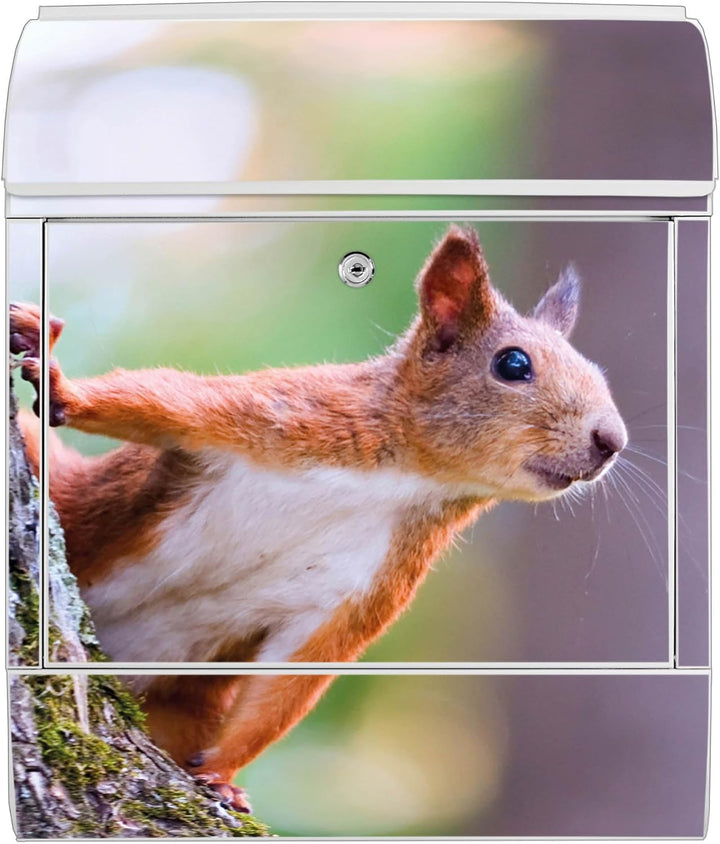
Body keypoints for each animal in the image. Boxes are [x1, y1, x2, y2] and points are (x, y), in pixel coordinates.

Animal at [10, 225, 627, 811]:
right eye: (513, 364)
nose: (611, 441)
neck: (407, 478)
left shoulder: (369, 582)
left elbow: (295, 675)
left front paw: (222, 777)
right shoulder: (284, 414)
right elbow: (161, 401)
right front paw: (64, 389)